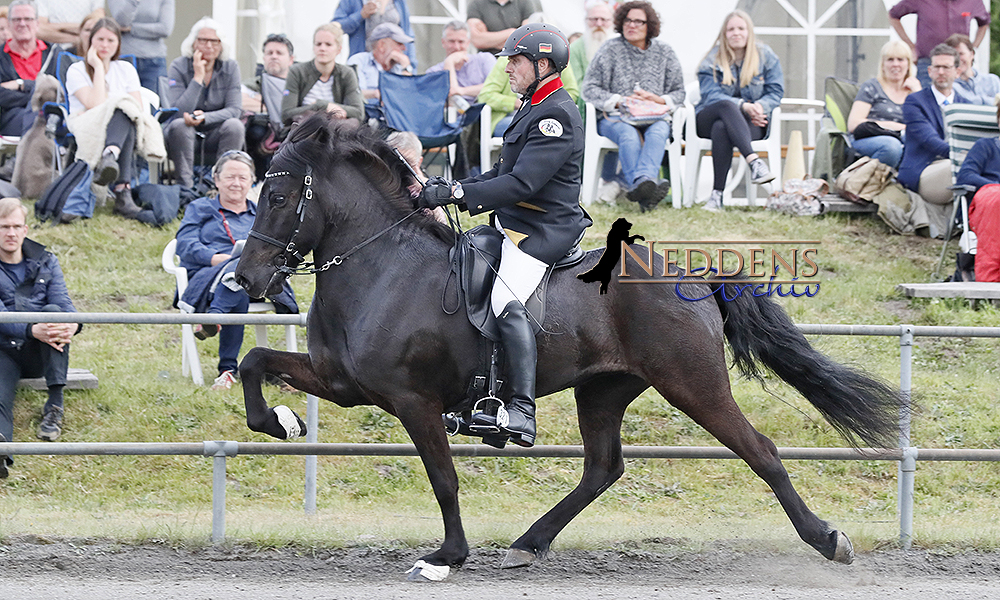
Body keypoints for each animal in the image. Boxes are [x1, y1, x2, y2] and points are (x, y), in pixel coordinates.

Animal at [236, 115, 908, 580]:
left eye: (278, 197)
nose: (245, 281)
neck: (382, 264)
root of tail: (690, 274)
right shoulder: (345, 384)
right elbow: (252, 363)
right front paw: (282, 422)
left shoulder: (412, 400)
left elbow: (443, 478)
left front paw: (447, 556)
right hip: (604, 389)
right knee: (602, 468)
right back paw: (528, 543)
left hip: (692, 383)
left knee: (760, 451)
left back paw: (828, 540)